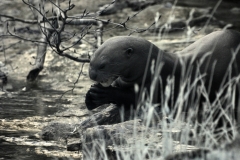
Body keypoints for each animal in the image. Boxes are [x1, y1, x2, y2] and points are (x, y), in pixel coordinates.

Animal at [85, 29, 240, 119]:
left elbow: (134, 99)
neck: (150, 70)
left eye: (102, 65)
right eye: (90, 62)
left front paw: (104, 93)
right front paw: (90, 97)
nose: (92, 75)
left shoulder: (156, 85)